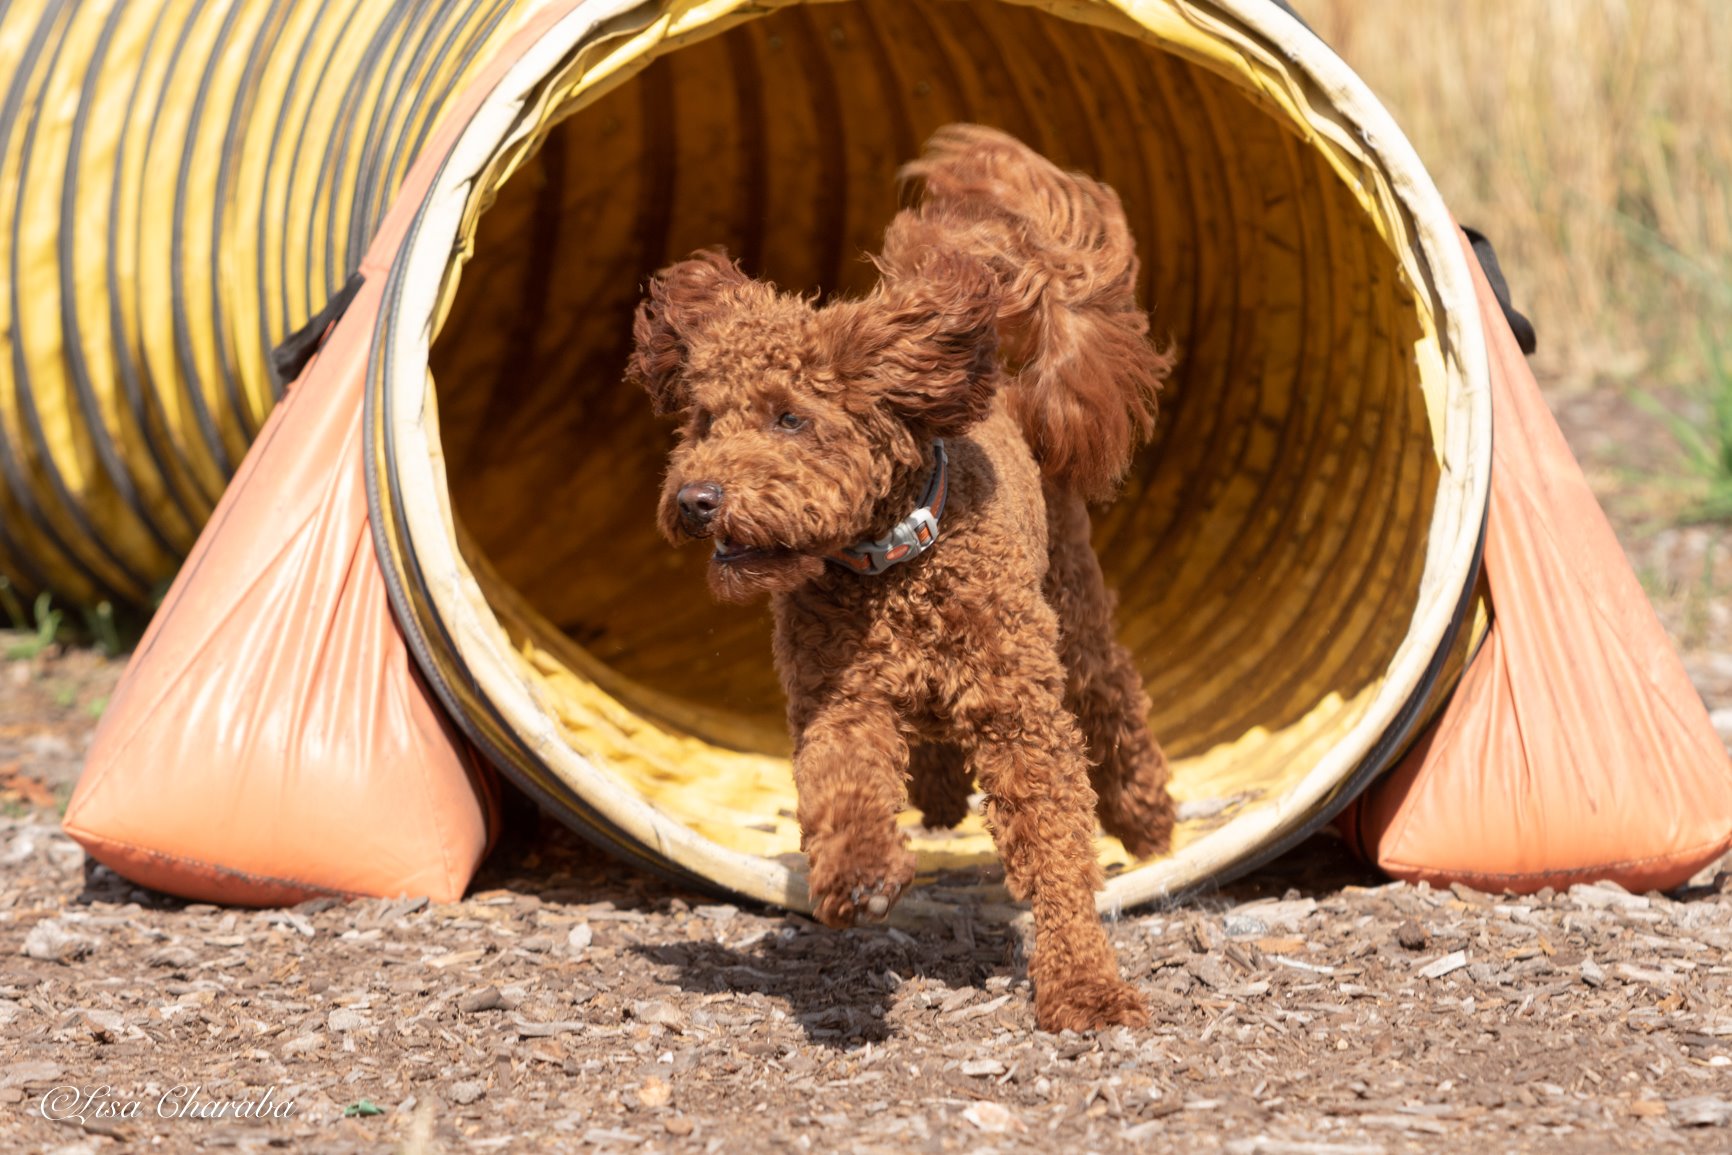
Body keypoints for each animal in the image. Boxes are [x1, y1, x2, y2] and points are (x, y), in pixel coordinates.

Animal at [626, 124, 1177, 1032]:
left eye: (791, 417)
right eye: (704, 420)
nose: (697, 500)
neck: (892, 563)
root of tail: (1012, 394)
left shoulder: (1021, 714)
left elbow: (1057, 843)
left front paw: (1085, 986)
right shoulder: (838, 697)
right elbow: (841, 781)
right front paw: (858, 877)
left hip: (1073, 613)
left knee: (1116, 699)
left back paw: (1149, 816)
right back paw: (942, 794)